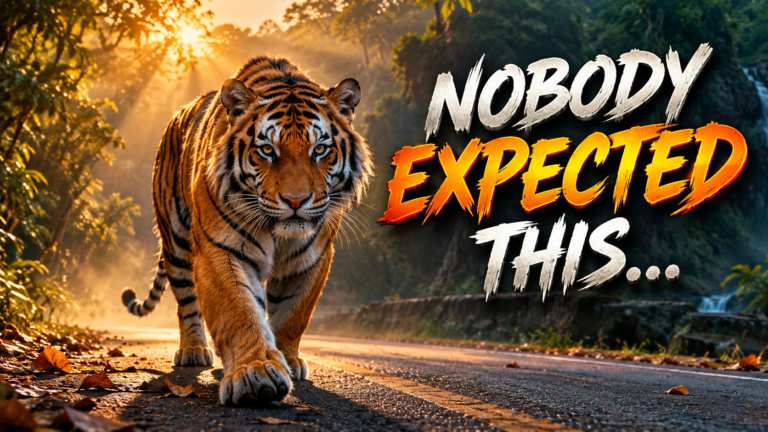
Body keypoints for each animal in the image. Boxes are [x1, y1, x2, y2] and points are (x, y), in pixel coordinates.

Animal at [120, 56, 372, 405]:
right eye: (267, 150)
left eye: (320, 150)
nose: (296, 200)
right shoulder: (221, 248)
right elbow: (240, 311)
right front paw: (256, 374)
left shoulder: (312, 257)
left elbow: (293, 313)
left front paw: (288, 359)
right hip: (176, 241)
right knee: (186, 301)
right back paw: (194, 350)